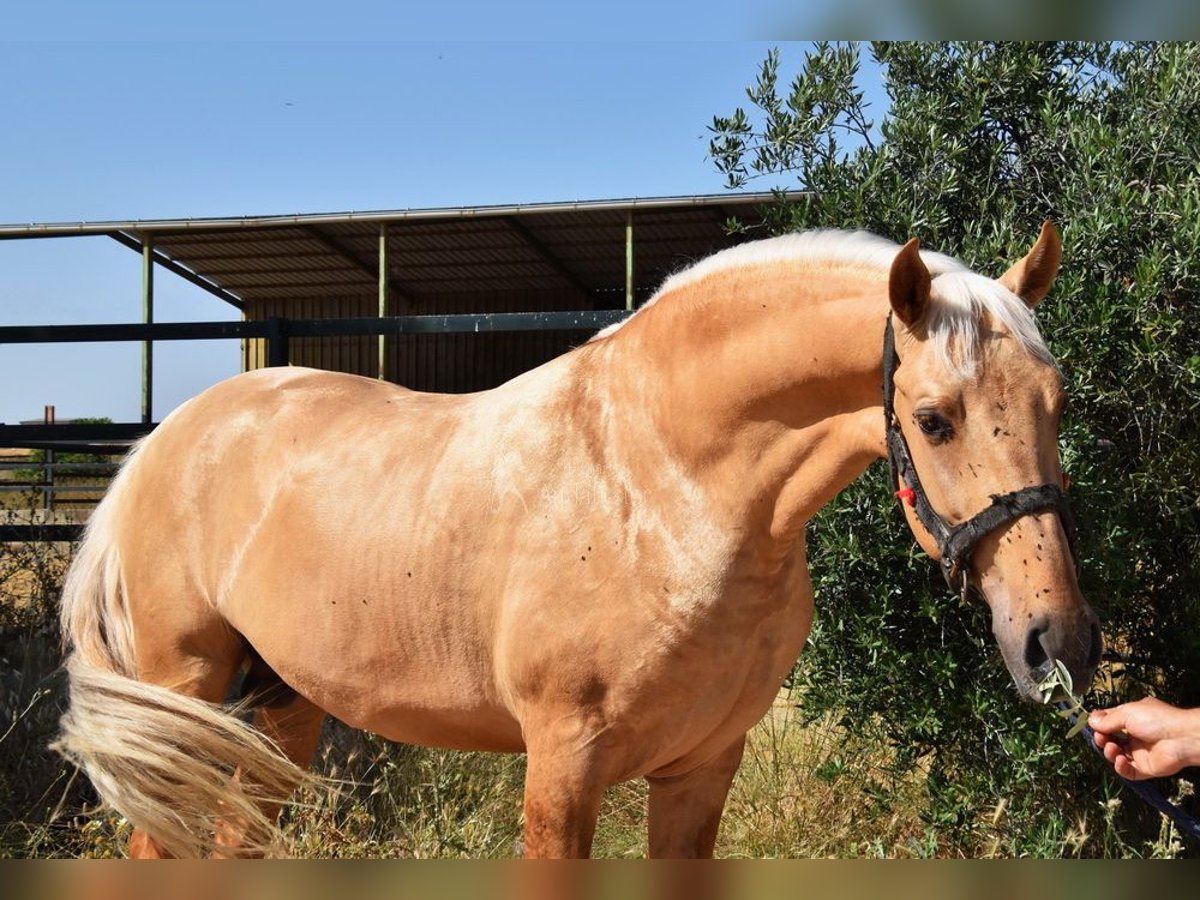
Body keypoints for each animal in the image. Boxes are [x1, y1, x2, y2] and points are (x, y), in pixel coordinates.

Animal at [60, 224, 1099, 859]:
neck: (664, 487)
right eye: (932, 420)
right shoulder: (563, 768)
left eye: (1058, 403)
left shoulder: (700, 773)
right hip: (183, 687)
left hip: (284, 706)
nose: (1059, 642)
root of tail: (163, 441)